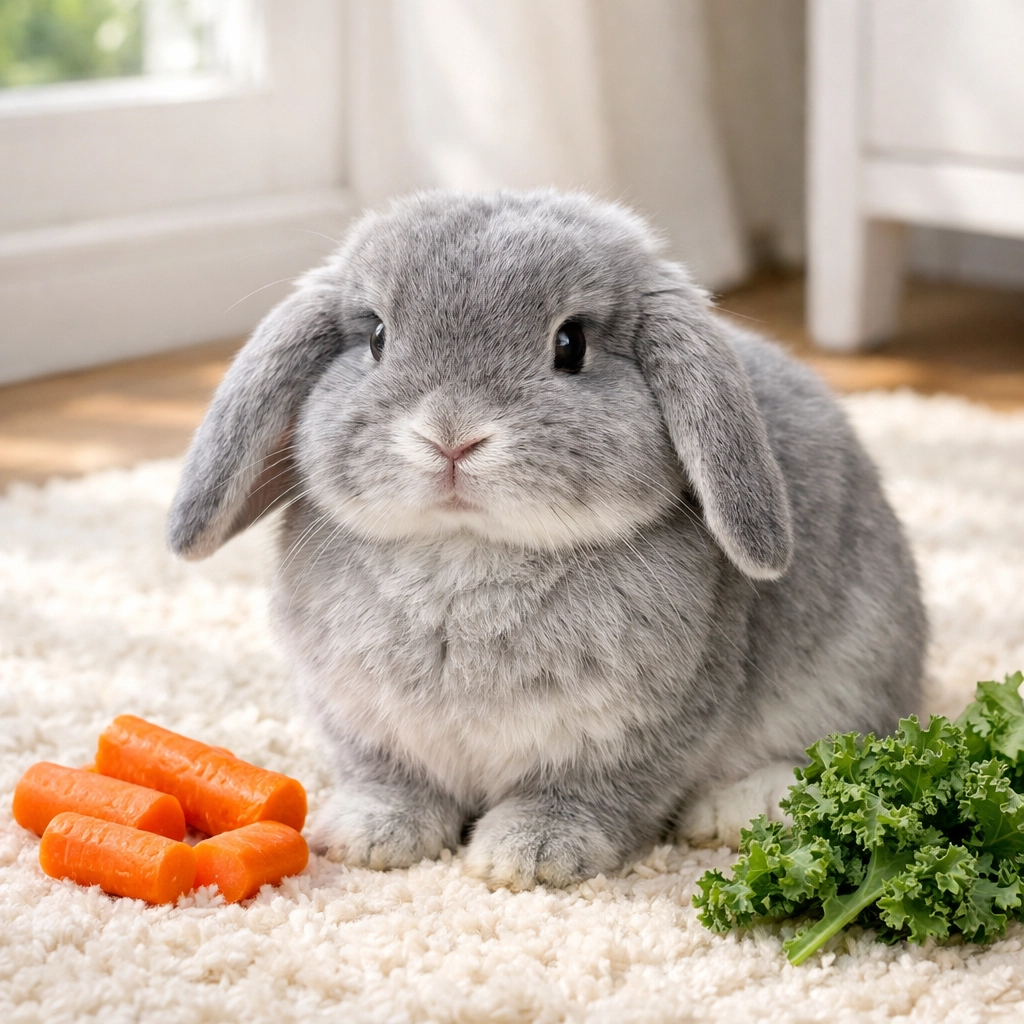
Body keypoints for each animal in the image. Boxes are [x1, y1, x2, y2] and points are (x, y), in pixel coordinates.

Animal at [168, 188, 926, 889]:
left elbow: (590, 795)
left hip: (852, 666)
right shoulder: (362, 723)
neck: (466, 554)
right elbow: (392, 781)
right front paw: (369, 837)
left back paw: (736, 810)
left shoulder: (639, 734)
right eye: (378, 337)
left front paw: (529, 854)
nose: (450, 435)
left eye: (571, 344)